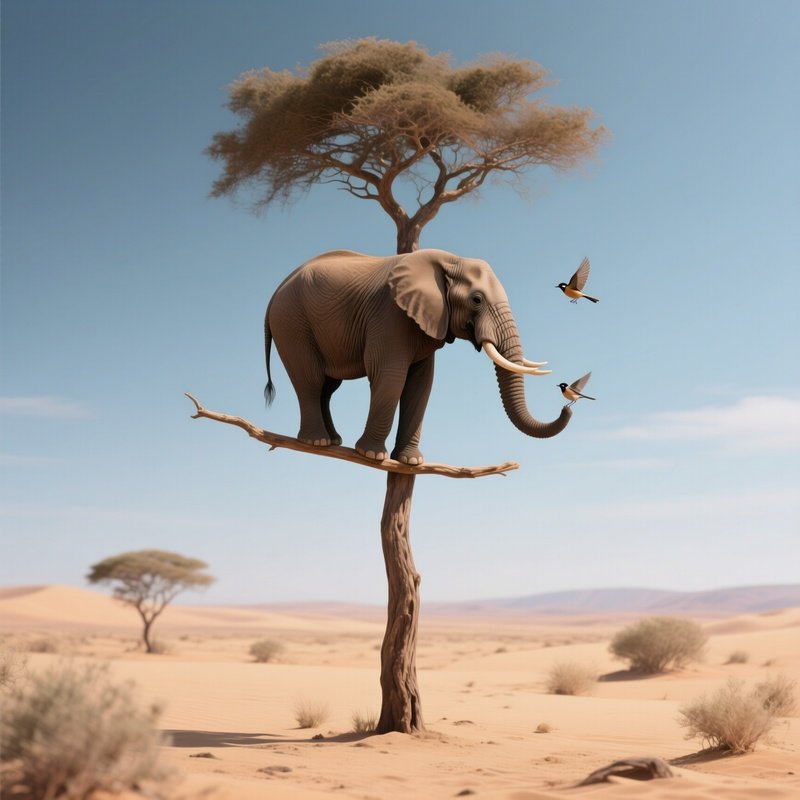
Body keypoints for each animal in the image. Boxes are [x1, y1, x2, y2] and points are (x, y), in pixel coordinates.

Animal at [264, 249, 572, 464]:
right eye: (476, 300)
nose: (566, 408)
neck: (450, 260)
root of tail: (275, 291)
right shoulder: (390, 314)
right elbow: (391, 376)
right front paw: (371, 455)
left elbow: (421, 384)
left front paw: (410, 461)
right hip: (292, 322)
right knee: (311, 380)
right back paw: (317, 442)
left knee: (328, 387)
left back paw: (334, 440)